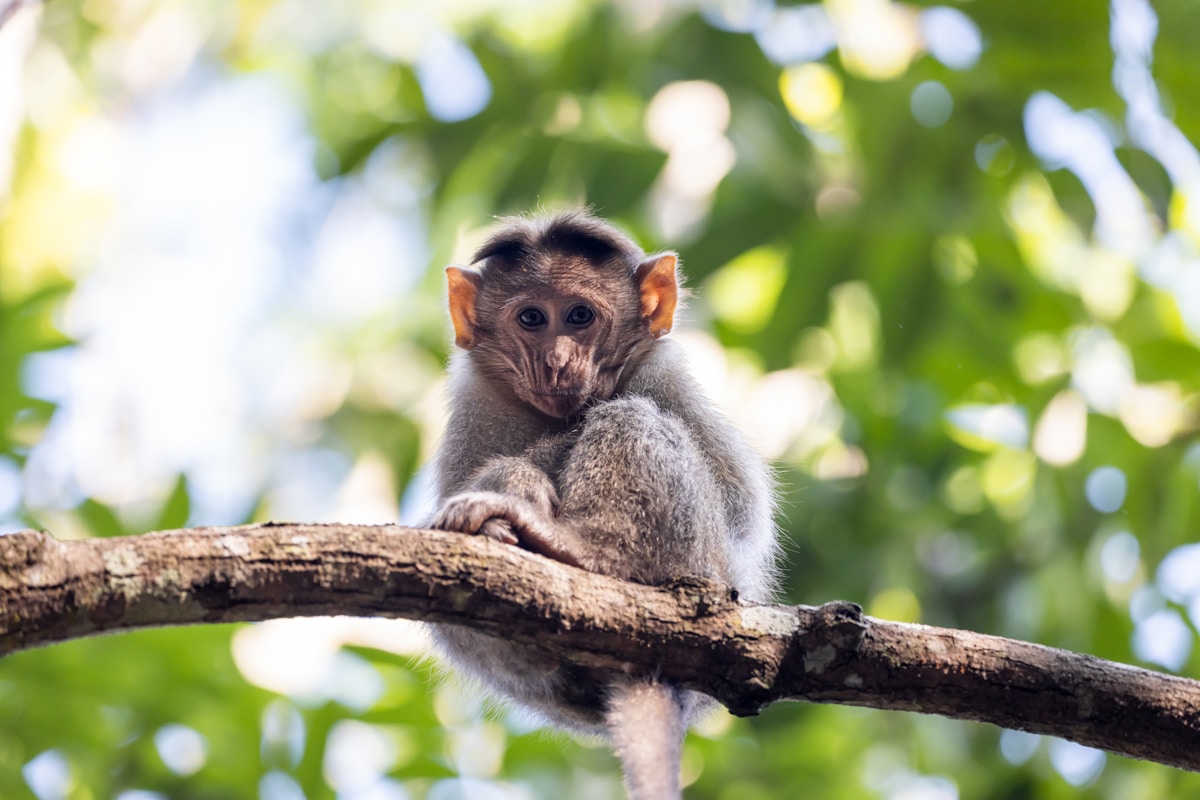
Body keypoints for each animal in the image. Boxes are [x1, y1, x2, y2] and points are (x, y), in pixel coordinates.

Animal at [426, 210, 779, 800]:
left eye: (579, 316)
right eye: (531, 318)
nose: (557, 360)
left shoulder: (663, 375)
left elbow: (741, 506)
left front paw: (517, 476)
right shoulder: (477, 405)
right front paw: (513, 480)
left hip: (701, 562)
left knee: (629, 418)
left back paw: (580, 549)